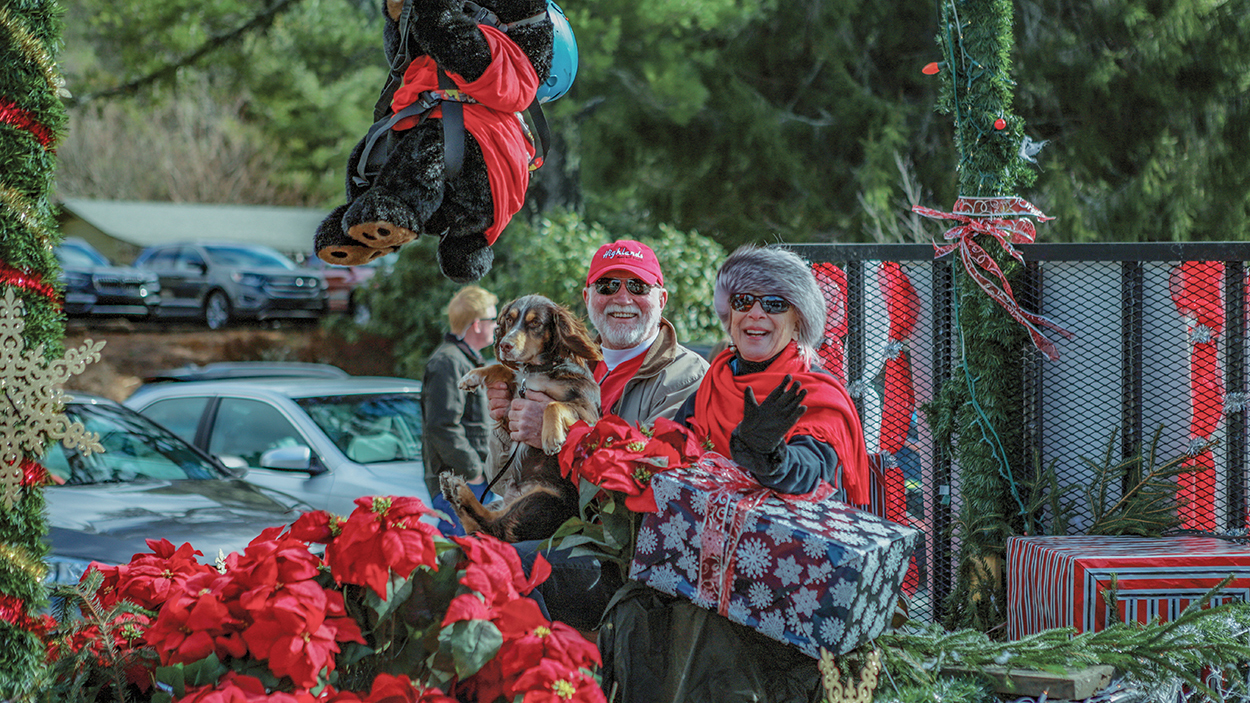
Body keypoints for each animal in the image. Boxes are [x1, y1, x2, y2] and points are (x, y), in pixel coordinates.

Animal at [442, 292, 602, 537]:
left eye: (535, 323)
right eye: (509, 320)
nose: (505, 345)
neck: (538, 370)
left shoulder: (588, 409)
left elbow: (552, 404)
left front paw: (551, 437)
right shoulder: (518, 390)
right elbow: (503, 369)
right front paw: (472, 376)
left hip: (543, 498)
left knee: (494, 526)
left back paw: (459, 490)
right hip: (506, 502)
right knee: (481, 526)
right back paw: (454, 489)